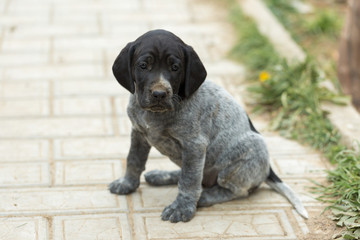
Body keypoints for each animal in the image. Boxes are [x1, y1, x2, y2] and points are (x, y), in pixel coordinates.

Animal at [108, 29, 308, 222]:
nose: (159, 94)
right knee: (195, 175)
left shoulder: (194, 145)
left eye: (175, 68)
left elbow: (189, 181)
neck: (155, 114)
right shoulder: (139, 133)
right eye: (143, 66)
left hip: (242, 159)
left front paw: (182, 208)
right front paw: (127, 183)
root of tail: (268, 171)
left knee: (235, 190)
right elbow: (134, 160)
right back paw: (163, 176)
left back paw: (204, 197)